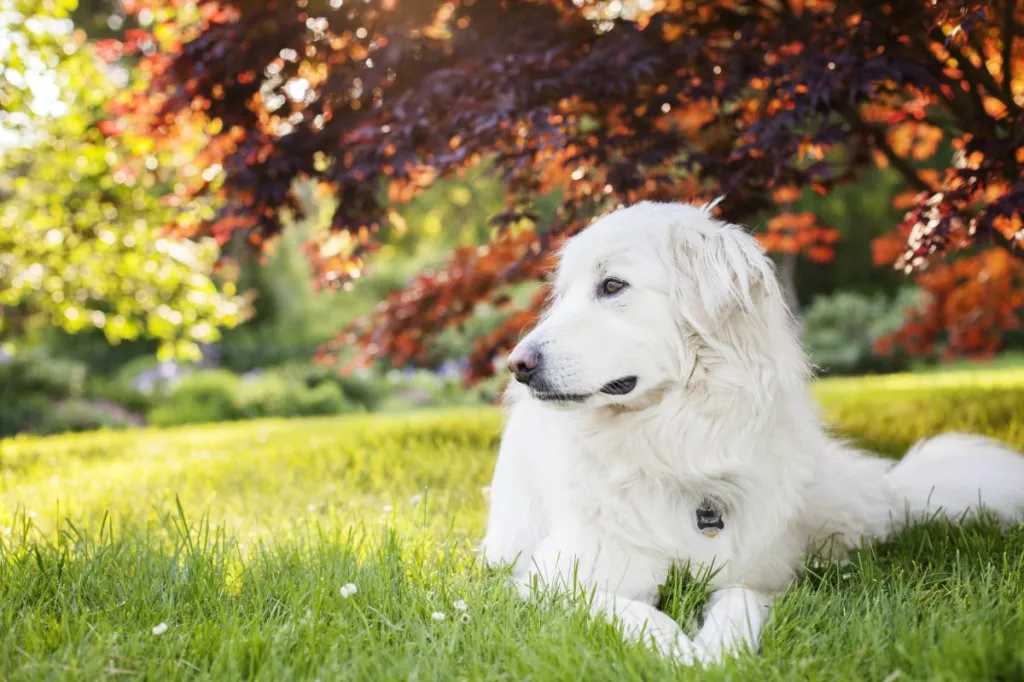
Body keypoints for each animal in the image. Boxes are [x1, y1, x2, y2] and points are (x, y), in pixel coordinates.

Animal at [479, 197, 1024, 663]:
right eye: (563, 296)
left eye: (613, 286)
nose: (517, 365)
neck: (675, 444)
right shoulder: (557, 581)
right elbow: (633, 612)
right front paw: (681, 654)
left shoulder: (751, 574)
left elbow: (739, 605)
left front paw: (720, 653)